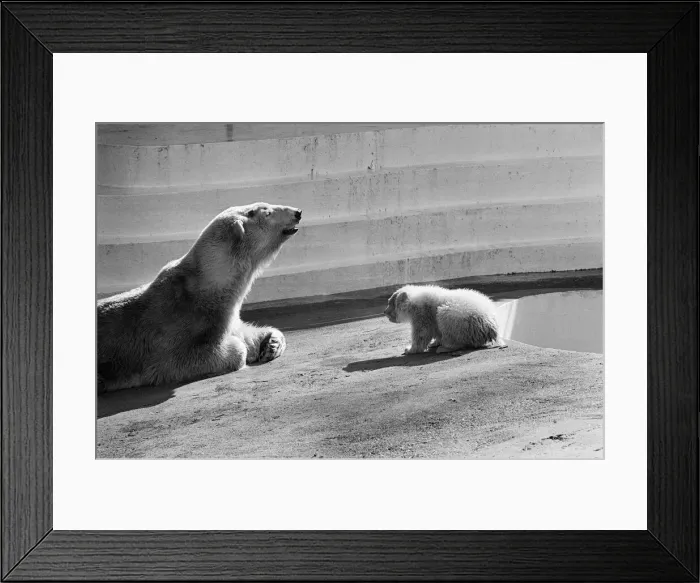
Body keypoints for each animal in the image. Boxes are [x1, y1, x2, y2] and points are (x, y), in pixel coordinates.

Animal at [97, 202, 302, 393]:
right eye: (268, 212)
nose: (298, 212)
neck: (207, 287)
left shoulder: (226, 315)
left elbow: (247, 333)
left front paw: (271, 344)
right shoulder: (181, 327)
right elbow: (193, 357)